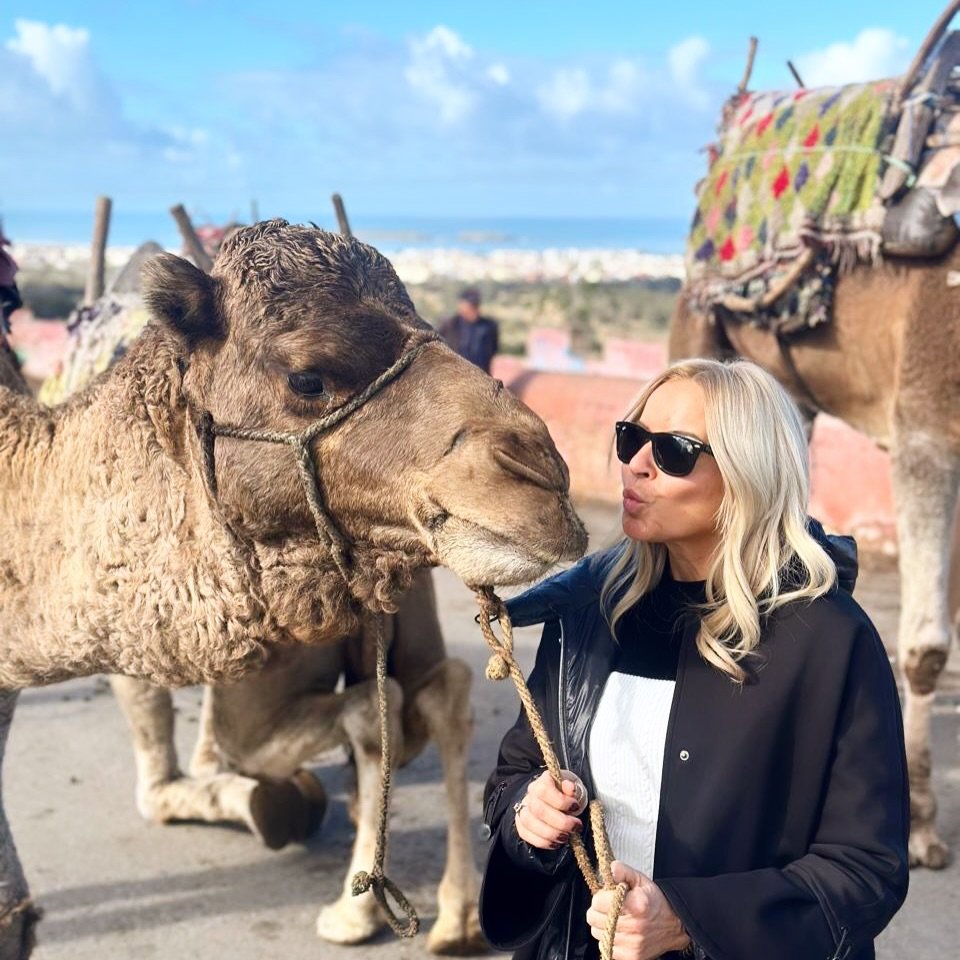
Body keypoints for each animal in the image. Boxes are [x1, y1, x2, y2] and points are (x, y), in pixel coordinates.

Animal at [0, 219, 587, 959]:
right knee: (438, 692)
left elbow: (155, 781)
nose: (542, 477)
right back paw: (453, 915)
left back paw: (358, 903)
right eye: (307, 377)